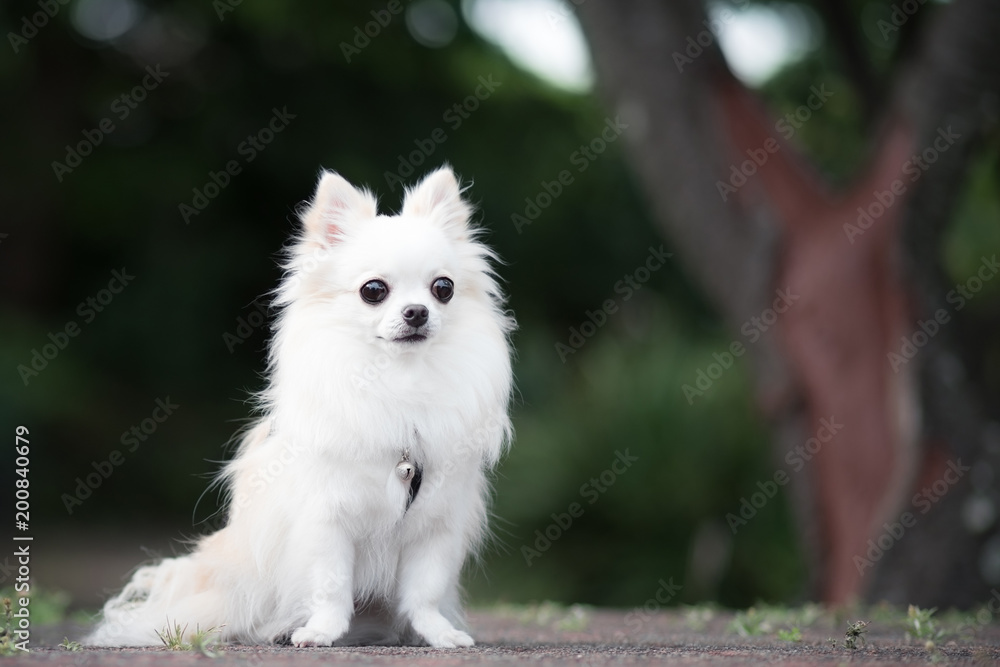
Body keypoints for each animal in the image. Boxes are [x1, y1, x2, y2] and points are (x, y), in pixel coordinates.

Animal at [88, 166, 516, 648]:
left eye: (443, 288)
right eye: (374, 290)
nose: (417, 312)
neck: (399, 381)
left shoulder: (436, 525)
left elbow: (424, 591)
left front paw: (438, 634)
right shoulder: (326, 521)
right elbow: (331, 585)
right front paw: (321, 631)